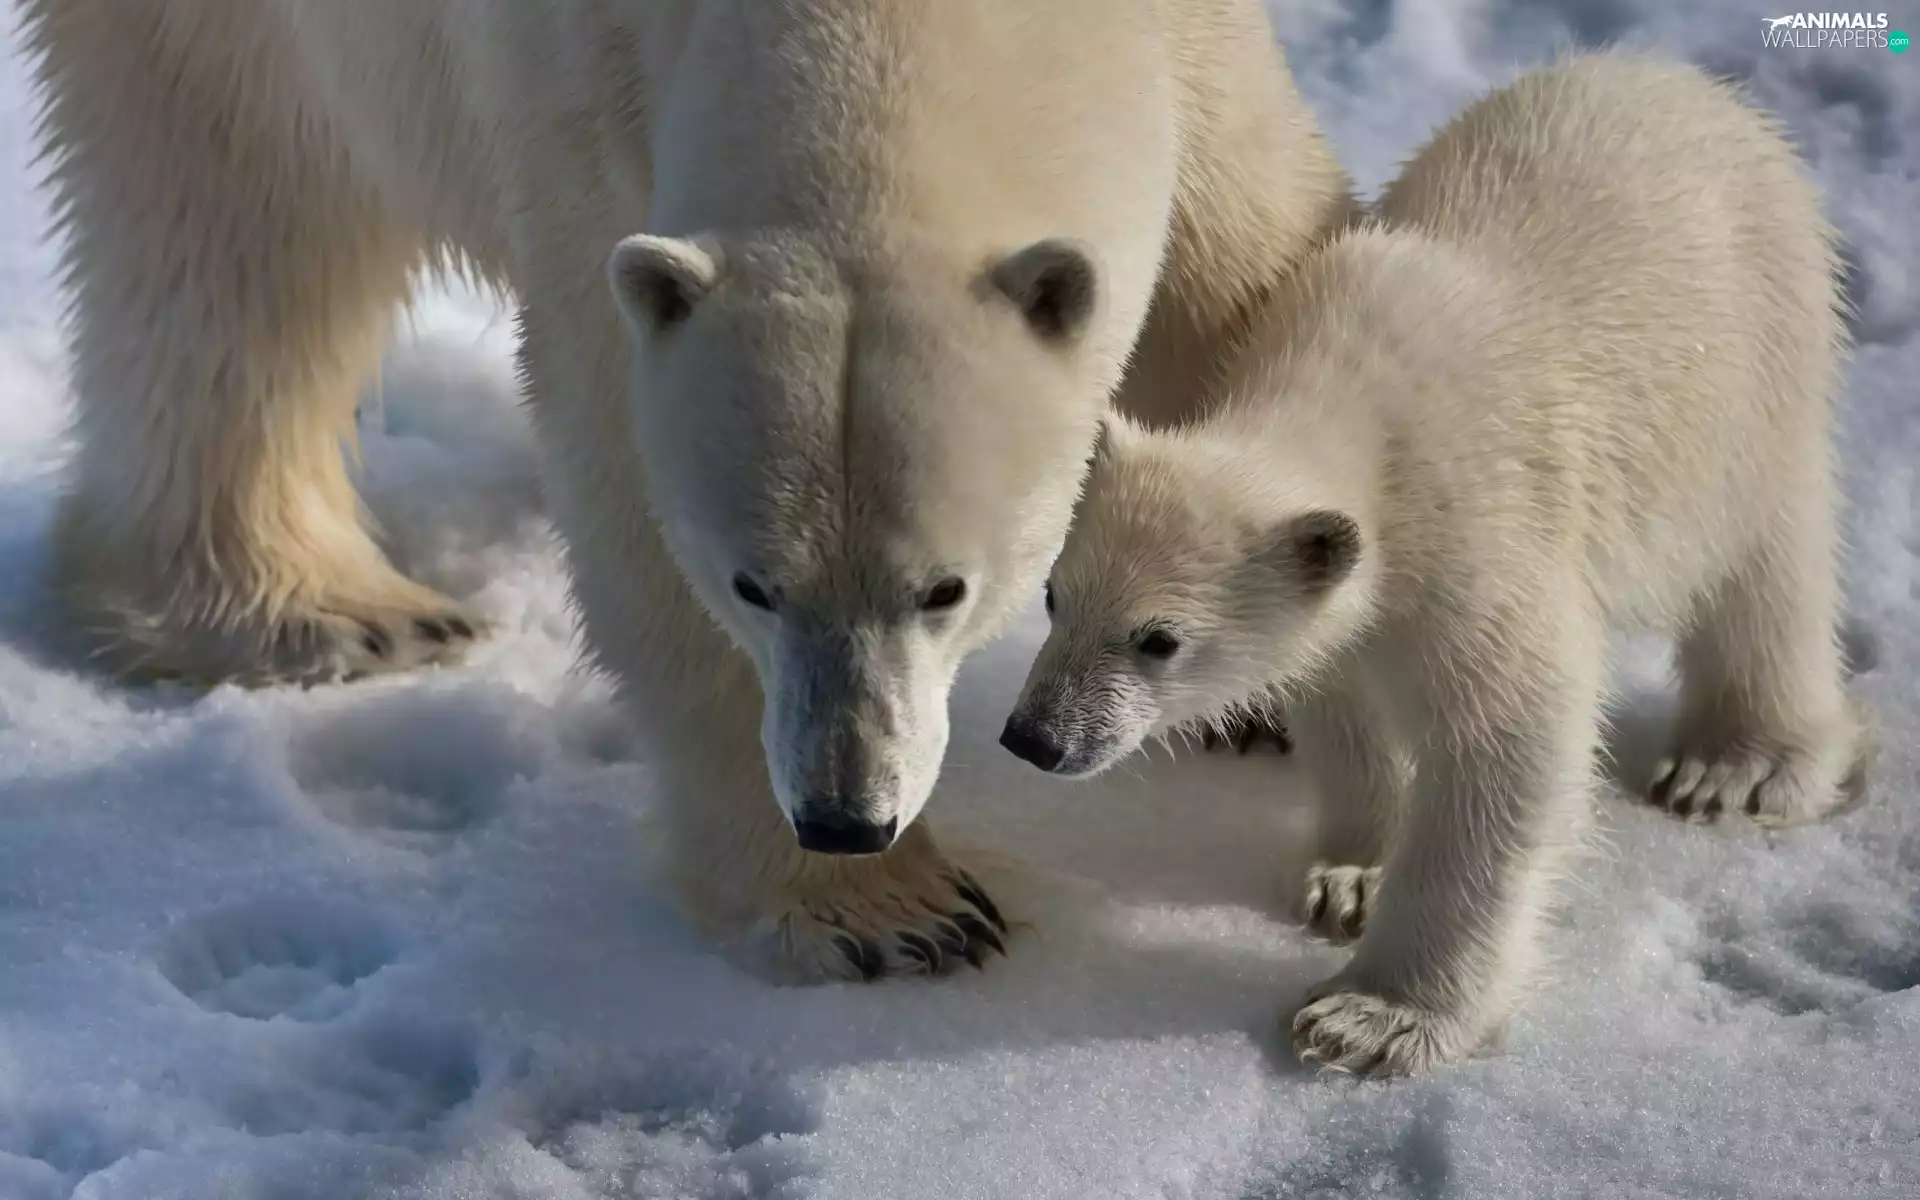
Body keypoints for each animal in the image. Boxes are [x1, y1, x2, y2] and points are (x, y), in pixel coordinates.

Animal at [22, 0, 1354, 983]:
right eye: (753, 586)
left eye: (946, 589)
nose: (843, 811)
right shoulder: (579, 115)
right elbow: (627, 476)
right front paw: (890, 910)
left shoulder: (1193, 44)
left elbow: (1247, 265)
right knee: (231, 208)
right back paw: (326, 609)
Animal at [999, 50, 1872, 1075]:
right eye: (1055, 597)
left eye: (1159, 639)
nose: (1036, 737)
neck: (1358, 399)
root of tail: (1677, 76)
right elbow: (1343, 705)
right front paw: (1349, 878)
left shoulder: (1482, 533)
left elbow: (1508, 748)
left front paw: (1373, 1017)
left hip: (1754, 365)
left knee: (1768, 566)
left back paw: (1736, 768)